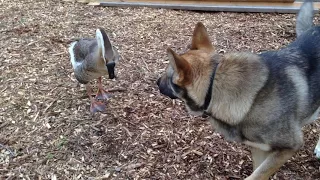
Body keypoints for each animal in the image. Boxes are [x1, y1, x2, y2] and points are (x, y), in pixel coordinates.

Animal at [157, 0, 320, 179]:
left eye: (167, 75)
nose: (157, 82)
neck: (214, 86)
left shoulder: (290, 147)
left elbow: (256, 175)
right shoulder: (259, 148)